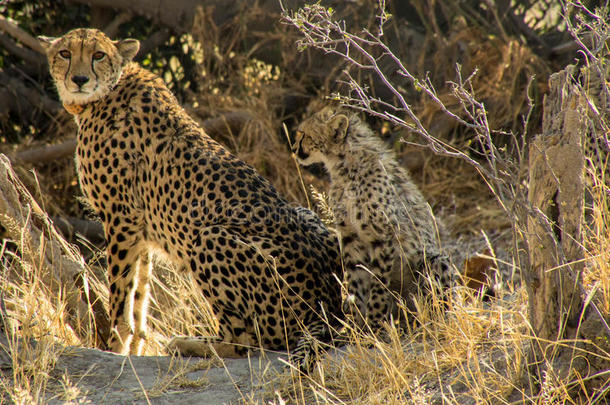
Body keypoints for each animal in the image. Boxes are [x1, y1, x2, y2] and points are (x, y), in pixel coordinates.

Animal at [38, 28, 342, 370]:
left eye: (98, 55)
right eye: (65, 53)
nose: (79, 79)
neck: (106, 91)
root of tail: (327, 309)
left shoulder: (121, 217)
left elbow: (120, 291)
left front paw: (112, 347)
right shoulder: (140, 229)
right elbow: (139, 294)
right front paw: (135, 347)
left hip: (209, 238)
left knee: (247, 341)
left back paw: (189, 344)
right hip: (308, 215)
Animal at [290, 105, 456, 330]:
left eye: (304, 134)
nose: (293, 149)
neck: (343, 165)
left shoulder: (383, 236)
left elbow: (377, 286)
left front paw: (375, 324)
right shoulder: (350, 237)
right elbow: (355, 281)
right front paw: (356, 326)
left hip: (432, 259)